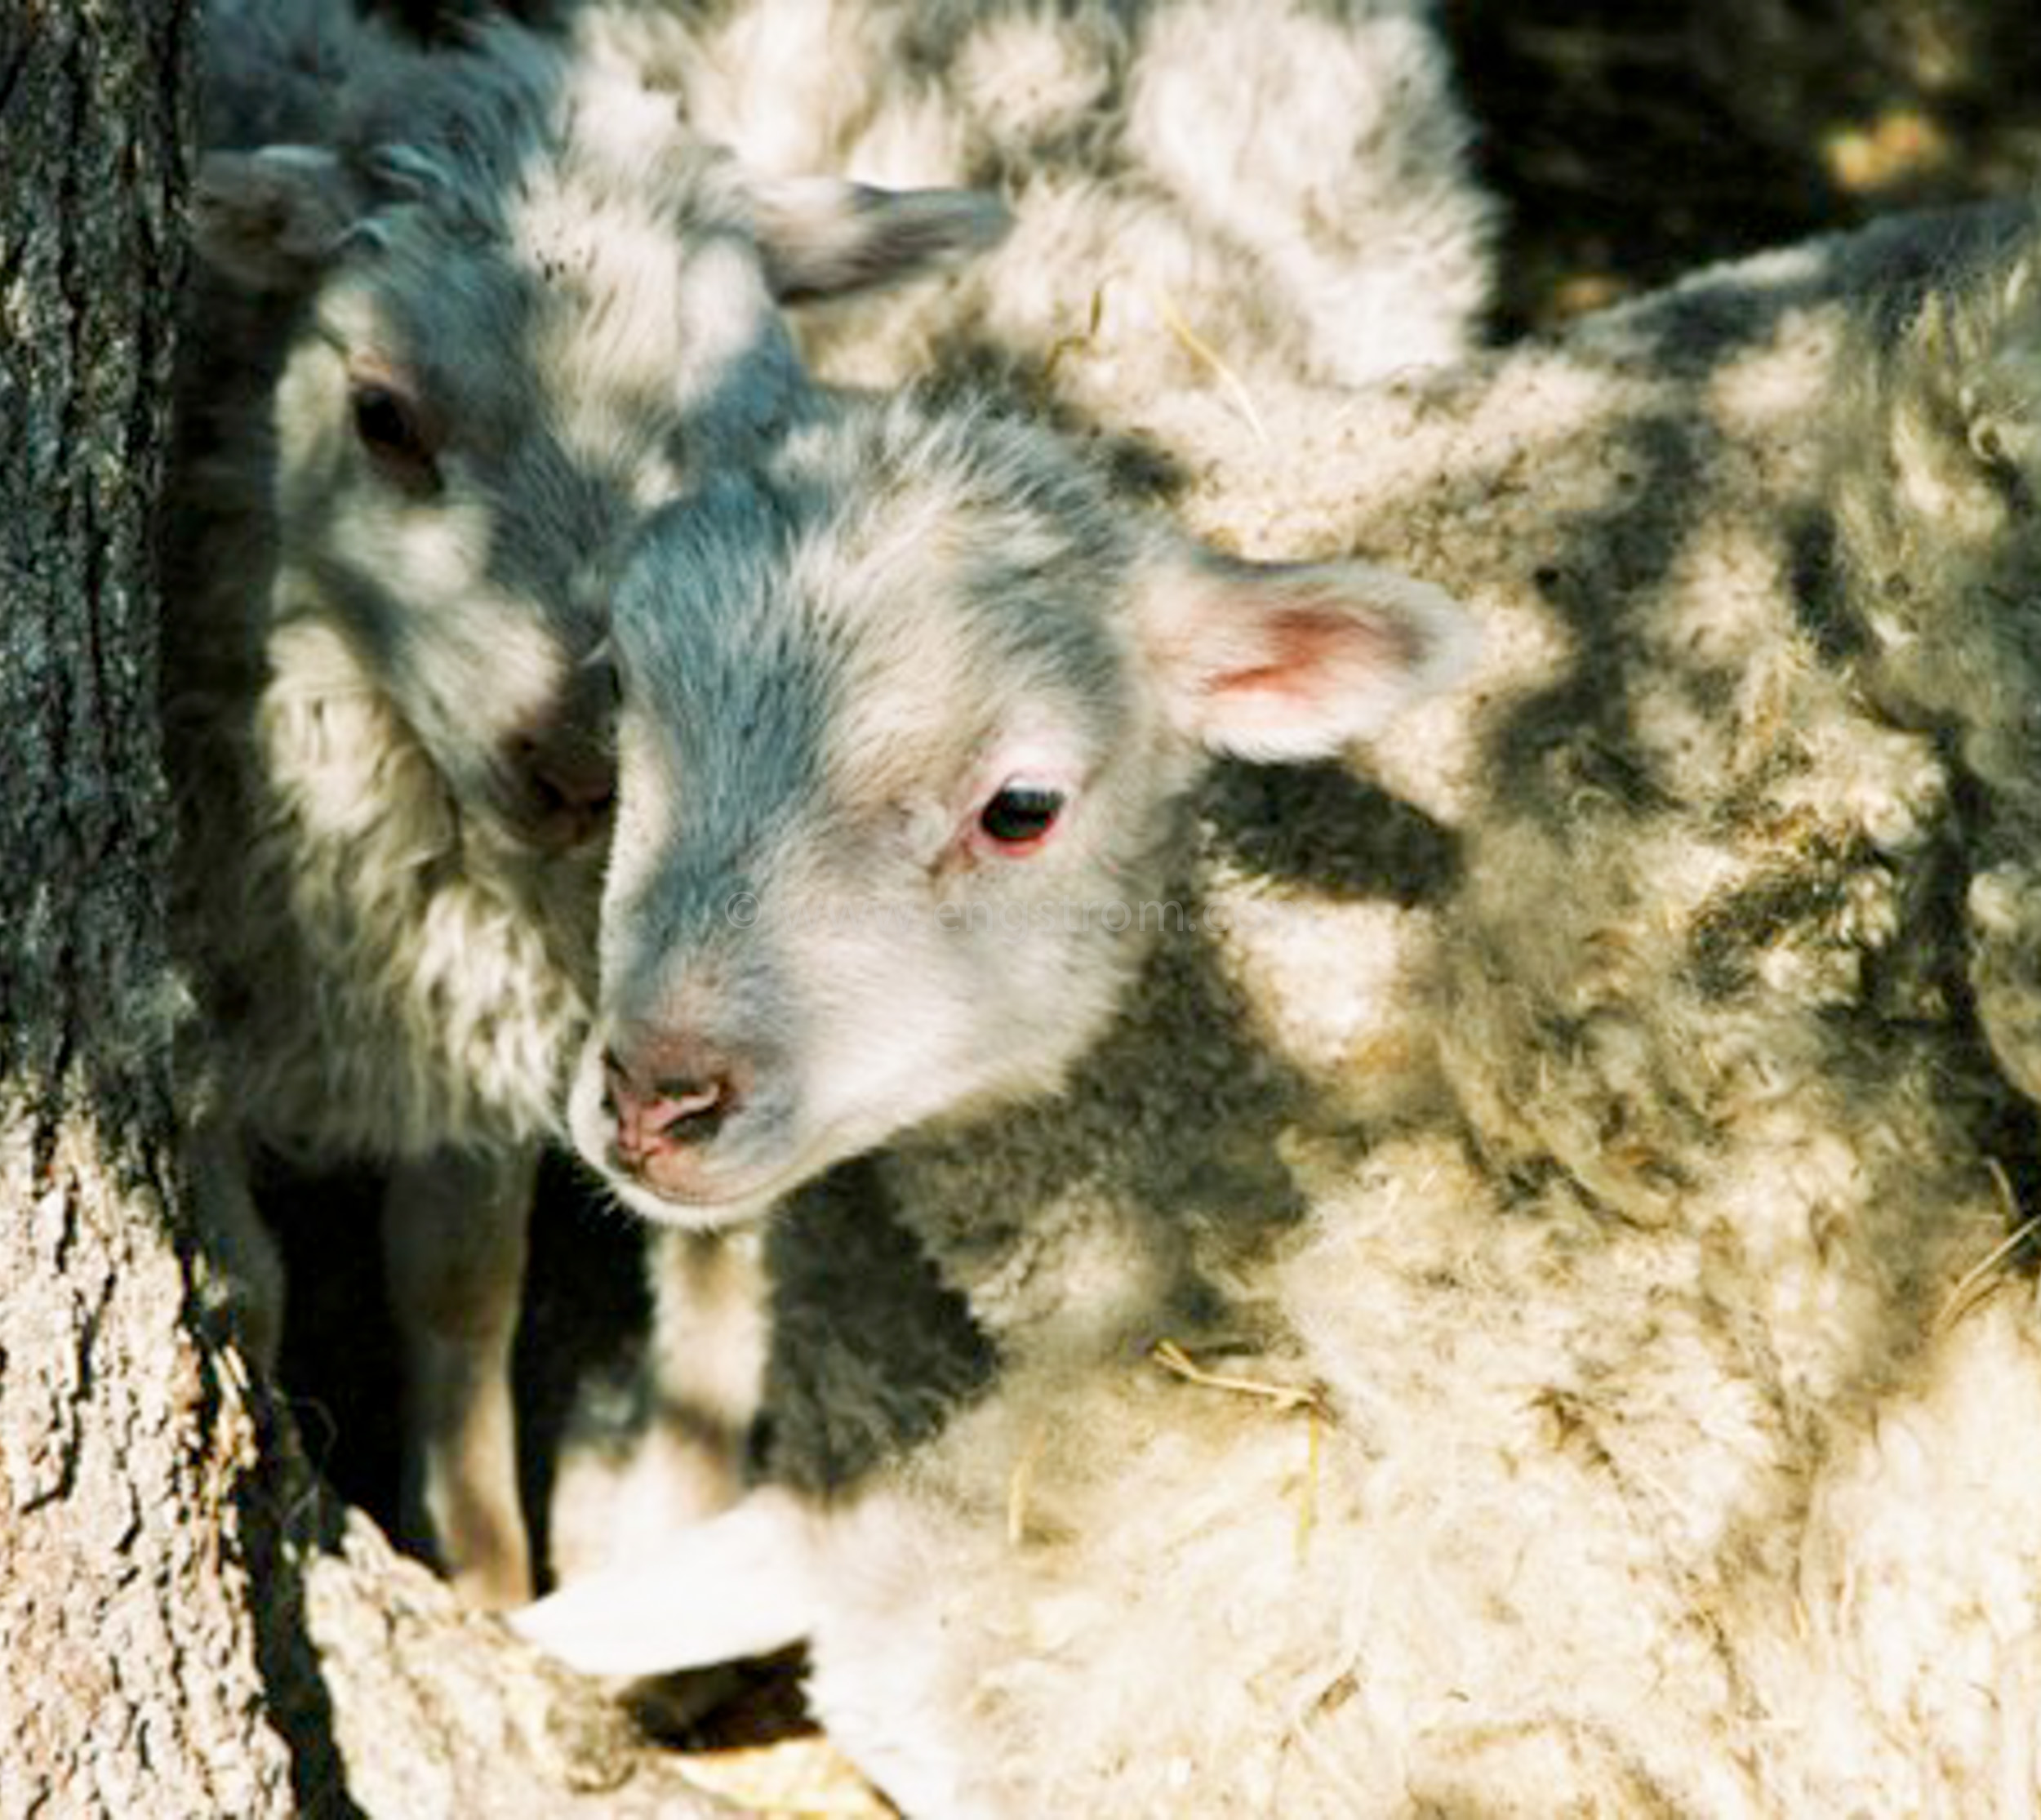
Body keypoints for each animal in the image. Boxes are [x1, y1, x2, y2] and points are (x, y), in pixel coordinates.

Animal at [167, 0, 1004, 1608]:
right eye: (382, 416)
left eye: (745, 452)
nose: (587, 763)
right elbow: (245, 1287)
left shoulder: (466, 1019)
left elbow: (460, 1288)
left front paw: (485, 1573)